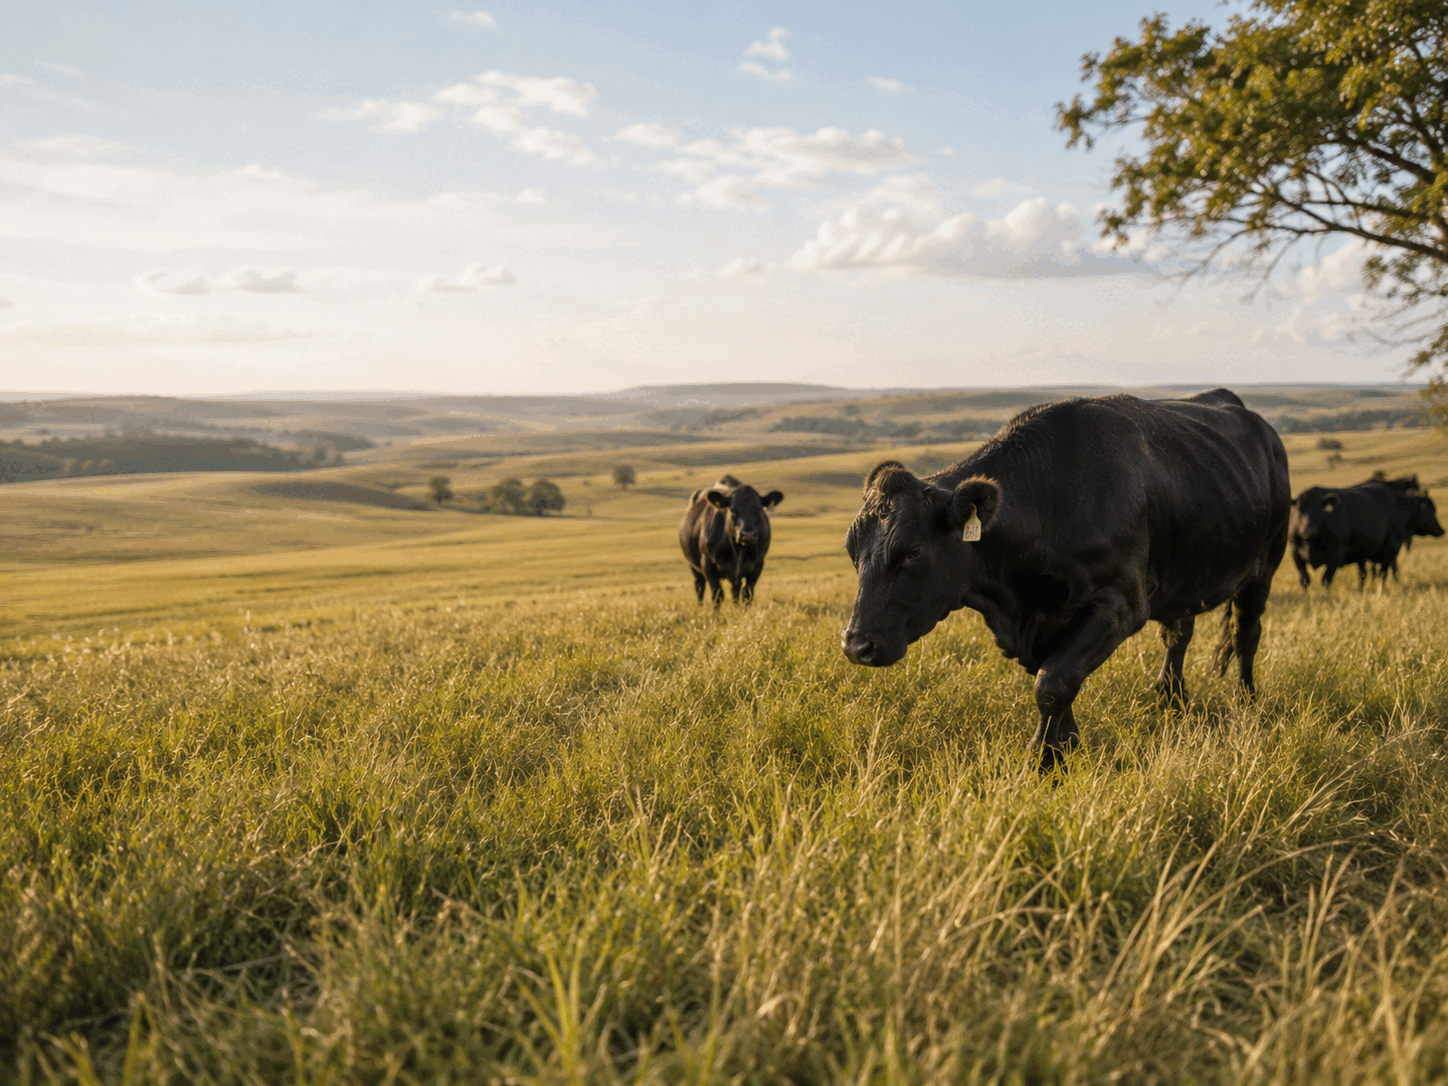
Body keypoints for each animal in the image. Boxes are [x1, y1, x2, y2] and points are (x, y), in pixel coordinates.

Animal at [679, 475, 784, 607]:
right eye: (733, 510)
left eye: (759, 509)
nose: (748, 534)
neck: (738, 550)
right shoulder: (707, 564)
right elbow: (717, 594)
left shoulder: (757, 564)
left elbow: (747, 593)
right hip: (693, 566)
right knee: (699, 586)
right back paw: (700, 607)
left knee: (735, 591)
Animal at [841, 389, 1290, 771]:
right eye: (852, 550)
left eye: (912, 551)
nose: (857, 645)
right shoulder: (1043, 619)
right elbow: (1056, 676)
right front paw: (1066, 745)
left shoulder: (1121, 604)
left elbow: (1052, 683)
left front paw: (1041, 762)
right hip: (1186, 572)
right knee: (1178, 635)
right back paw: (1171, 701)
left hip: (1263, 567)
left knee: (1246, 633)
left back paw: (1246, 702)